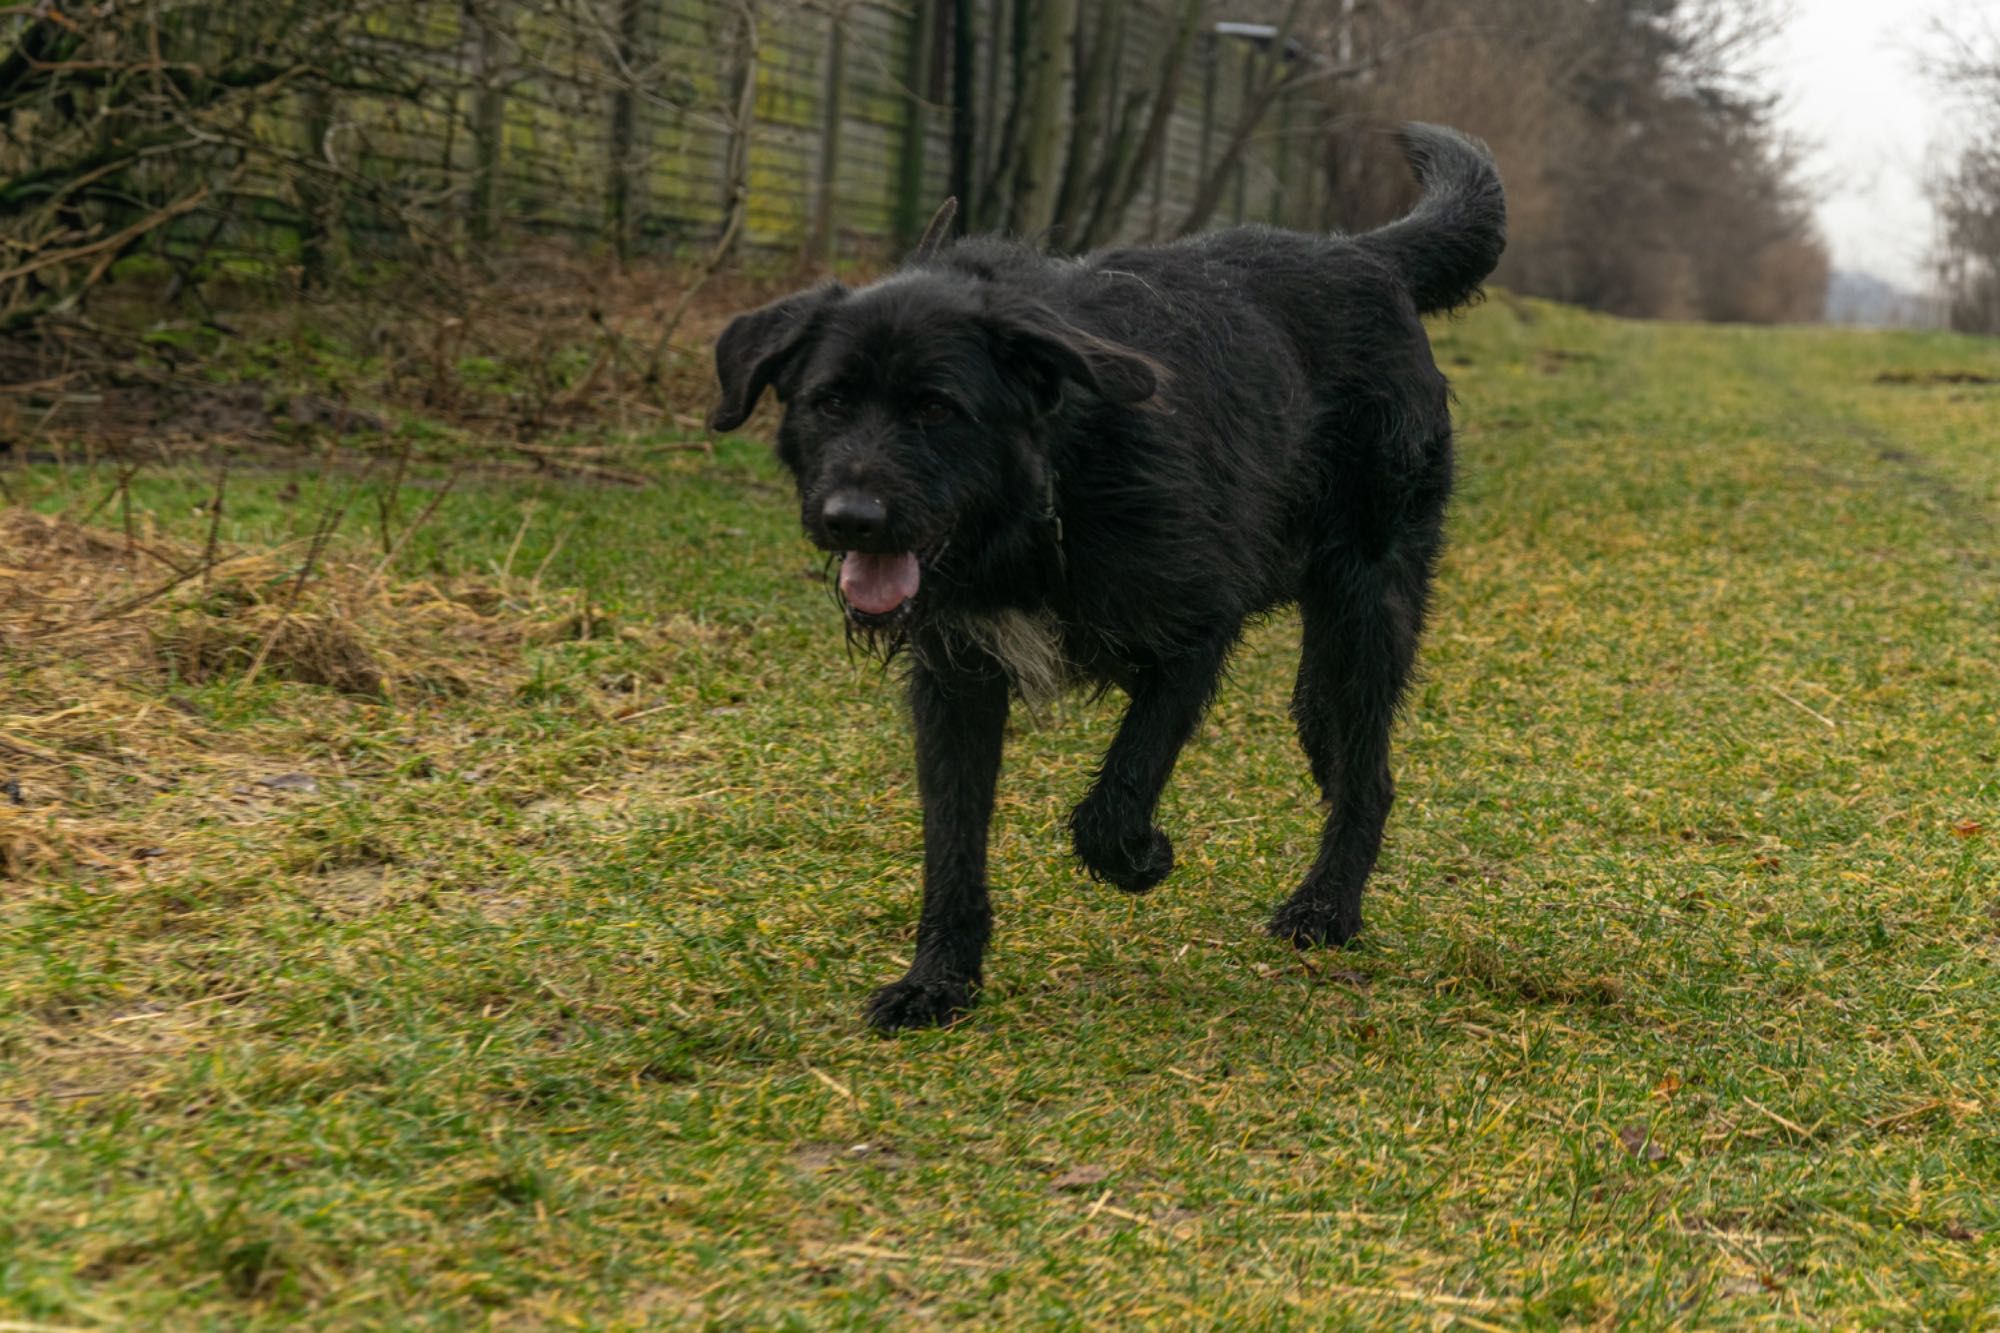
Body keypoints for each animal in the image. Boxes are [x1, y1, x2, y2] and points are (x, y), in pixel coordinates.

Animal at [712, 124, 1504, 1024]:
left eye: (938, 409)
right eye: (829, 402)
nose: (851, 518)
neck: (1048, 487)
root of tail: (1366, 253)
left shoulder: (1196, 635)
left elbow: (1114, 794)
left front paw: (1141, 855)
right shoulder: (955, 681)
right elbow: (952, 840)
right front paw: (940, 979)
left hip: (1372, 608)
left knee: (1371, 775)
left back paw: (1326, 906)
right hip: (1326, 657)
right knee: (1338, 750)